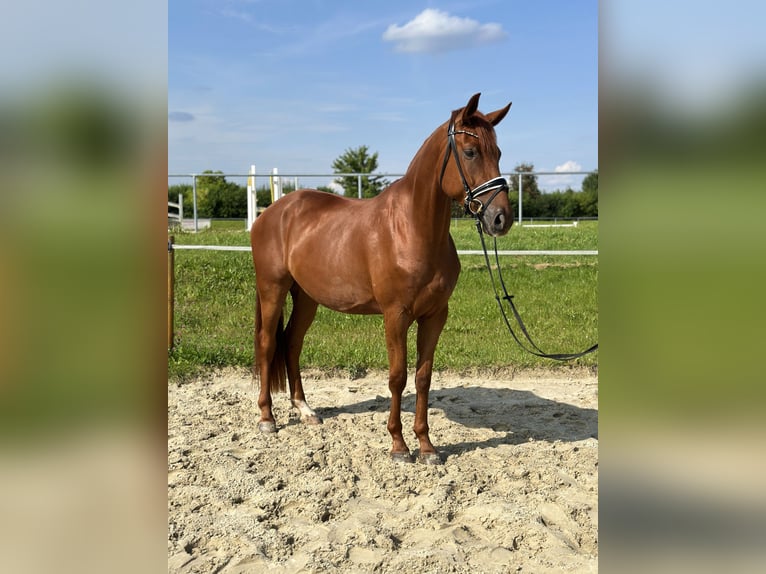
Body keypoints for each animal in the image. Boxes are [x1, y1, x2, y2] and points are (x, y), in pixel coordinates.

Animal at [252, 92, 512, 466]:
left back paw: (305, 410)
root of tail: (273, 212)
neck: (411, 229)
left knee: (291, 342)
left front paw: (427, 447)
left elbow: (422, 377)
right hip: (272, 290)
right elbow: (397, 377)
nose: (500, 218)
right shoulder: (395, 315)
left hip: (307, 298)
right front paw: (399, 446)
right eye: (470, 152)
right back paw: (267, 418)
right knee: (267, 343)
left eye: (499, 153)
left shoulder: (435, 316)